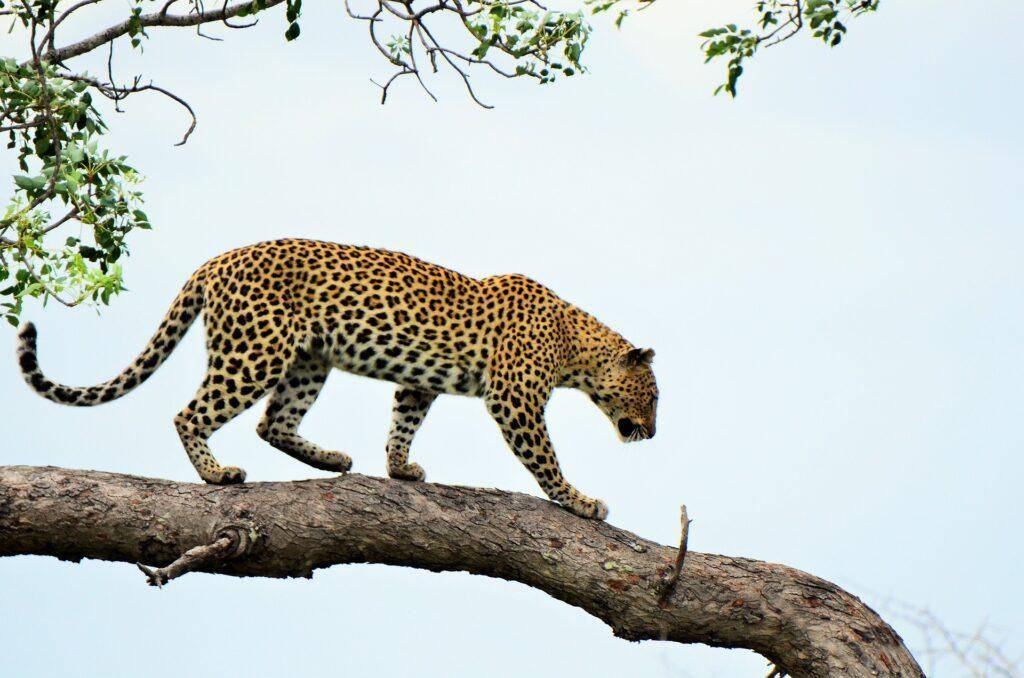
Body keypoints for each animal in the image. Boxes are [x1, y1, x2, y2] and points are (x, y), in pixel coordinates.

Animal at [16, 238, 659, 520]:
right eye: (652, 396)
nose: (652, 433)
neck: (575, 346)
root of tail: (214, 260)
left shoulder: (421, 381)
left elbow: (404, 419)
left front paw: (400, 469)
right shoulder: (515, 399)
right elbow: (545, 458)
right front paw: (580, 501)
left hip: (308, 360)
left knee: (274, 422)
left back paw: (331, 460)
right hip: (256, 352)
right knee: (191, 413)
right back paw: (217, 475)